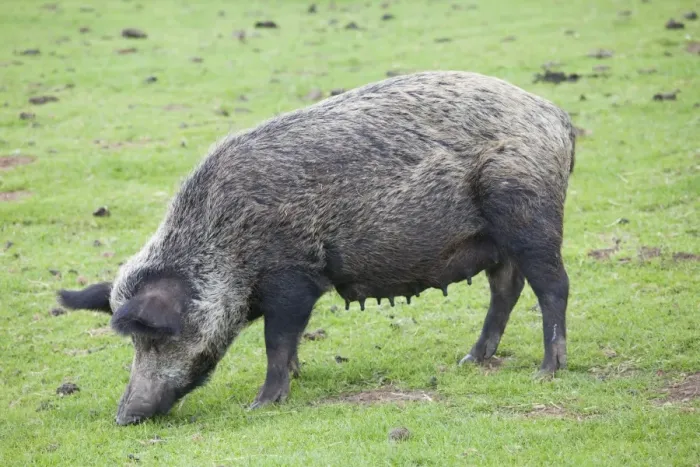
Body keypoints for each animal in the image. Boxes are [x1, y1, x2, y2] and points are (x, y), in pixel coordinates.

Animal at [58, 70, 576, 425]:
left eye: (157, 337)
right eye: (135, 343)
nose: (124, 416)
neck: (225, 243)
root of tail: (558, 117)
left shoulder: (294, 277)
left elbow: (277, 339)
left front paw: (261, 404)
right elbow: (287, 344)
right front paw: (298, 376)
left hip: (529, 213)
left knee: (554, 286)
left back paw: (546, 372)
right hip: (496, 237)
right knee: (506, 288)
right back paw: (471, 360)